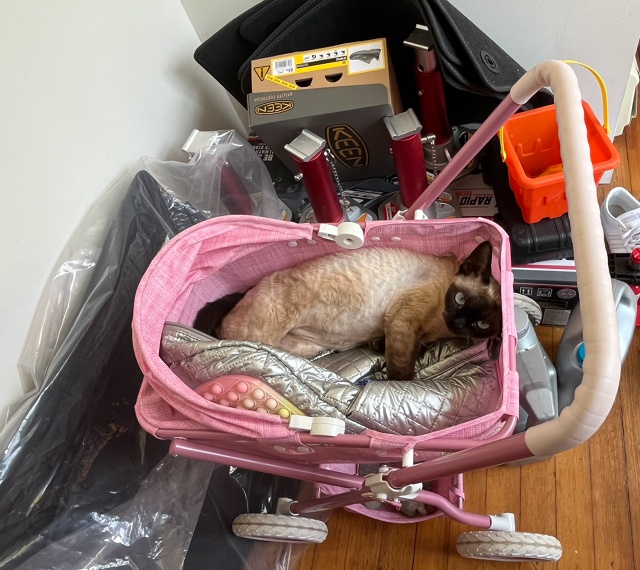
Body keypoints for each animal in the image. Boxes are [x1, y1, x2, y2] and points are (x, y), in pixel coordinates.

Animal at [194, 241, 502, 380]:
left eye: (482, 325)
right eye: (460, 299)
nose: (459, 323)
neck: (438, 328)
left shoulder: (399, 332)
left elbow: (396, 349)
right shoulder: (402, 322)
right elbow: (401, 373)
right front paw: (405, 384)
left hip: (301, 348)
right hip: (258, 336)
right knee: (225, 337)